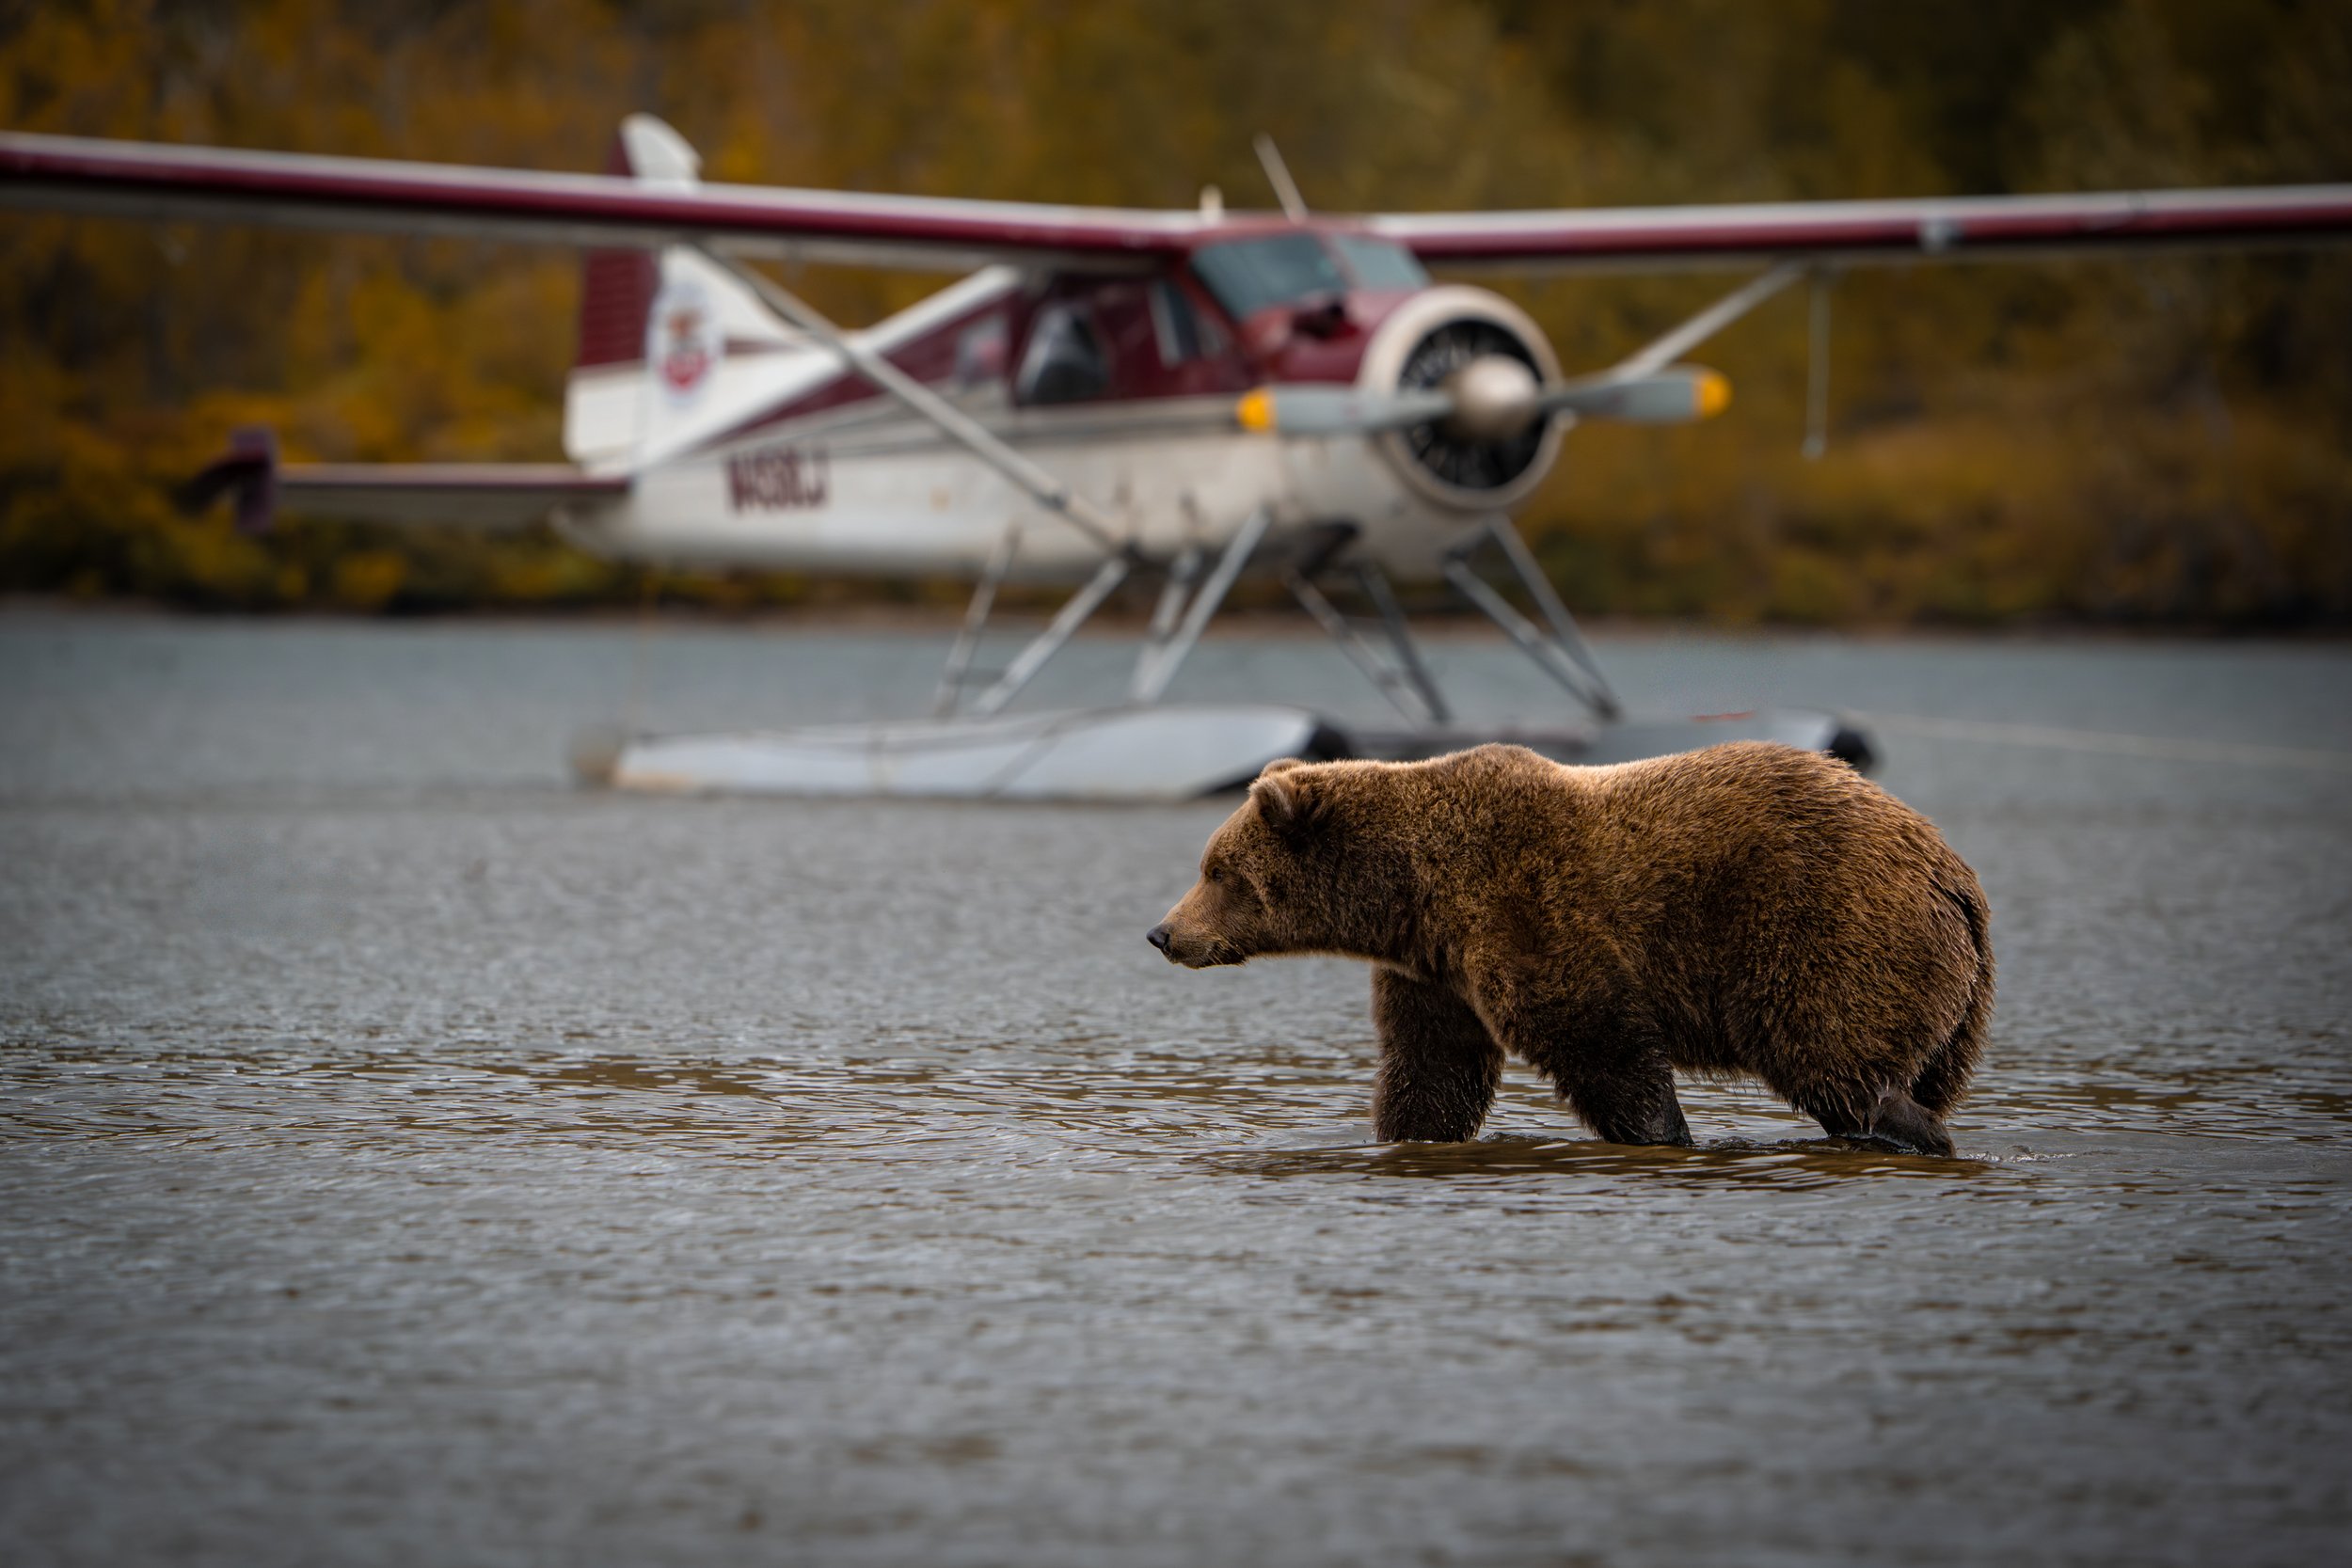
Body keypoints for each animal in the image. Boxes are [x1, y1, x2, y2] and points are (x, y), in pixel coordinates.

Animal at [1146, 741, 1993, 1156]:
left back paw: (1909, 1129)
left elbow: (1597, 1037)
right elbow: (1432, 1071)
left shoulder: (1526, 907)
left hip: (1829, 933)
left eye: (1218, 871)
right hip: (1950, 1001)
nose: (1164, 932)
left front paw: (1662, 1132)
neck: (1411, 893)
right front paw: (1404, 1133)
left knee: (1836, 1063)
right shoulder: (1435, 973)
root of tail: (1953, 874)